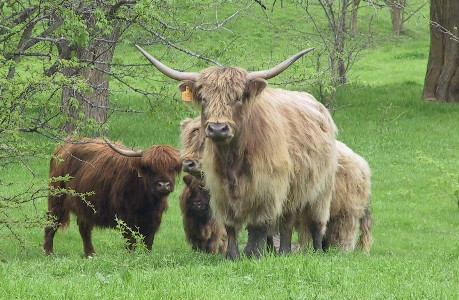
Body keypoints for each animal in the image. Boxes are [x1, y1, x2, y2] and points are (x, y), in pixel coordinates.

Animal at [43, 138, 181, 255]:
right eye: (150, 168)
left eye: (172, 167)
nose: (163, 185)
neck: (147, 201)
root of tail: (63, 147)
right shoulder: (125, 217)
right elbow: (130, 241)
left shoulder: (154, 219)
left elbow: (148, 241)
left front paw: (147, 255)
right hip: (57, 198)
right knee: (51, 223)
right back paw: (49, 253)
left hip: (85, 206)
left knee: (84, 228)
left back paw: (90, 254)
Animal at [137, 45, 338, 258]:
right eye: (204, 98)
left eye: (238, 97)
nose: (218, 128)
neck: (233, 160)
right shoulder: (220, 190)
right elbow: (230, 225)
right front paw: (232, 255)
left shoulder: (266, 187)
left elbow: (258, 225)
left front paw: (253, 253)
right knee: (287, 219)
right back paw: (282, 251)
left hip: (321, 189)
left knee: (313, 222)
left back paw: (313, 250)